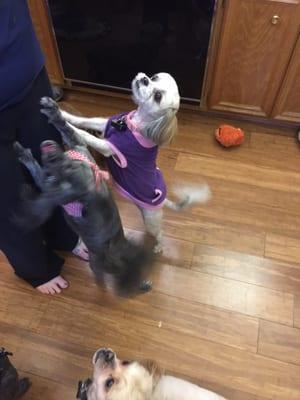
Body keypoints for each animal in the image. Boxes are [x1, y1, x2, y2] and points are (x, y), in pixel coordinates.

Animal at [40, 72, 211, 252]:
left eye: (158, 96)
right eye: (154, 77)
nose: (144, 79)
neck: (132, 125)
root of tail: (163, 201)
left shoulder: (107, 147)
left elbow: (84, 134)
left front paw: (61, 121)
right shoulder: (103, 123)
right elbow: (83, 120)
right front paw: (60, 111)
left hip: (151, 221)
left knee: (159, 233)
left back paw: (158, 246)